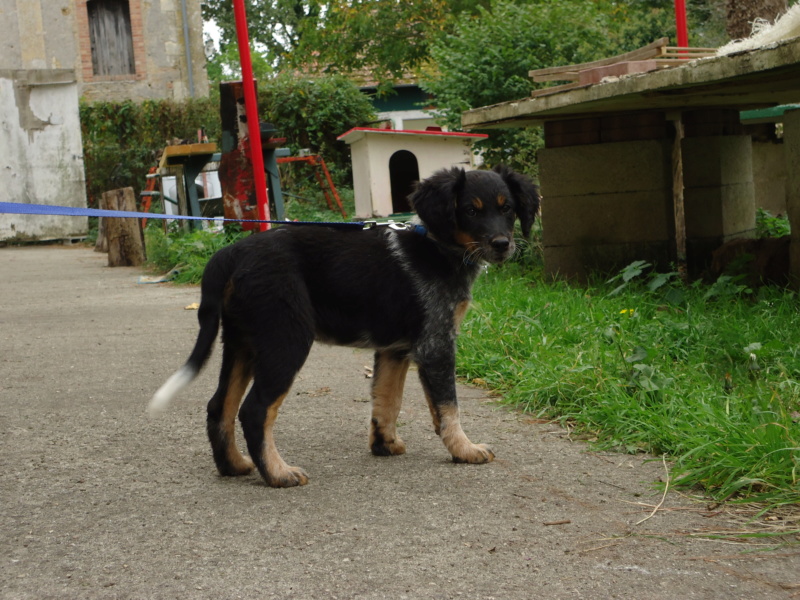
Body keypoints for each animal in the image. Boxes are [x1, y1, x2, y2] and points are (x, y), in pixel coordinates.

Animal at [148, 164, 540, 488]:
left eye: (507, 208)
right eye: (471, 210)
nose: (502, 245)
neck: (436, 245)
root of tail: (229, 254)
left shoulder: (395, 348)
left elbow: (387, 398)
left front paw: (384, 444)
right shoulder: (436, 343)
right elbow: (447, 407)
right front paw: (464, 449)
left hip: (242, 342)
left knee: (220, 406)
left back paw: (233, 466)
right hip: (285, 339)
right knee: (254, 410)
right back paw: (278, 473)